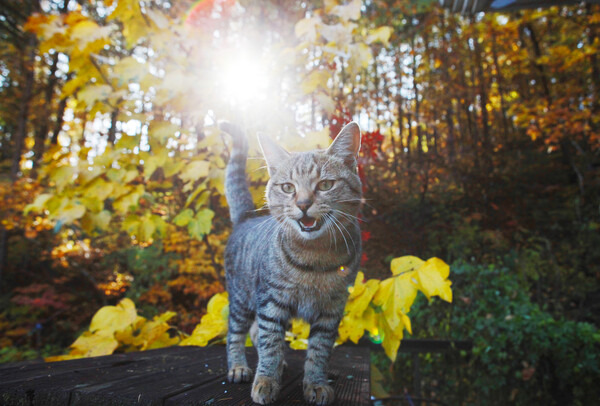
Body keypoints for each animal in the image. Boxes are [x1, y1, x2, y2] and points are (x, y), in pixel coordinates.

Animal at [220, 122, 360, 404]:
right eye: (287, 188)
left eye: (325, 184)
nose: (303, 204)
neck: (315, 257)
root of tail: (244, 218)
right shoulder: (271, 302)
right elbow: (270, 345)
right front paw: (265, 381)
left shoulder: (332, 309)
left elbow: (319, 351)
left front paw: (315, 383)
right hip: (241, 298)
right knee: (236, 334)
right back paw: (239, 367)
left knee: (255, 332)